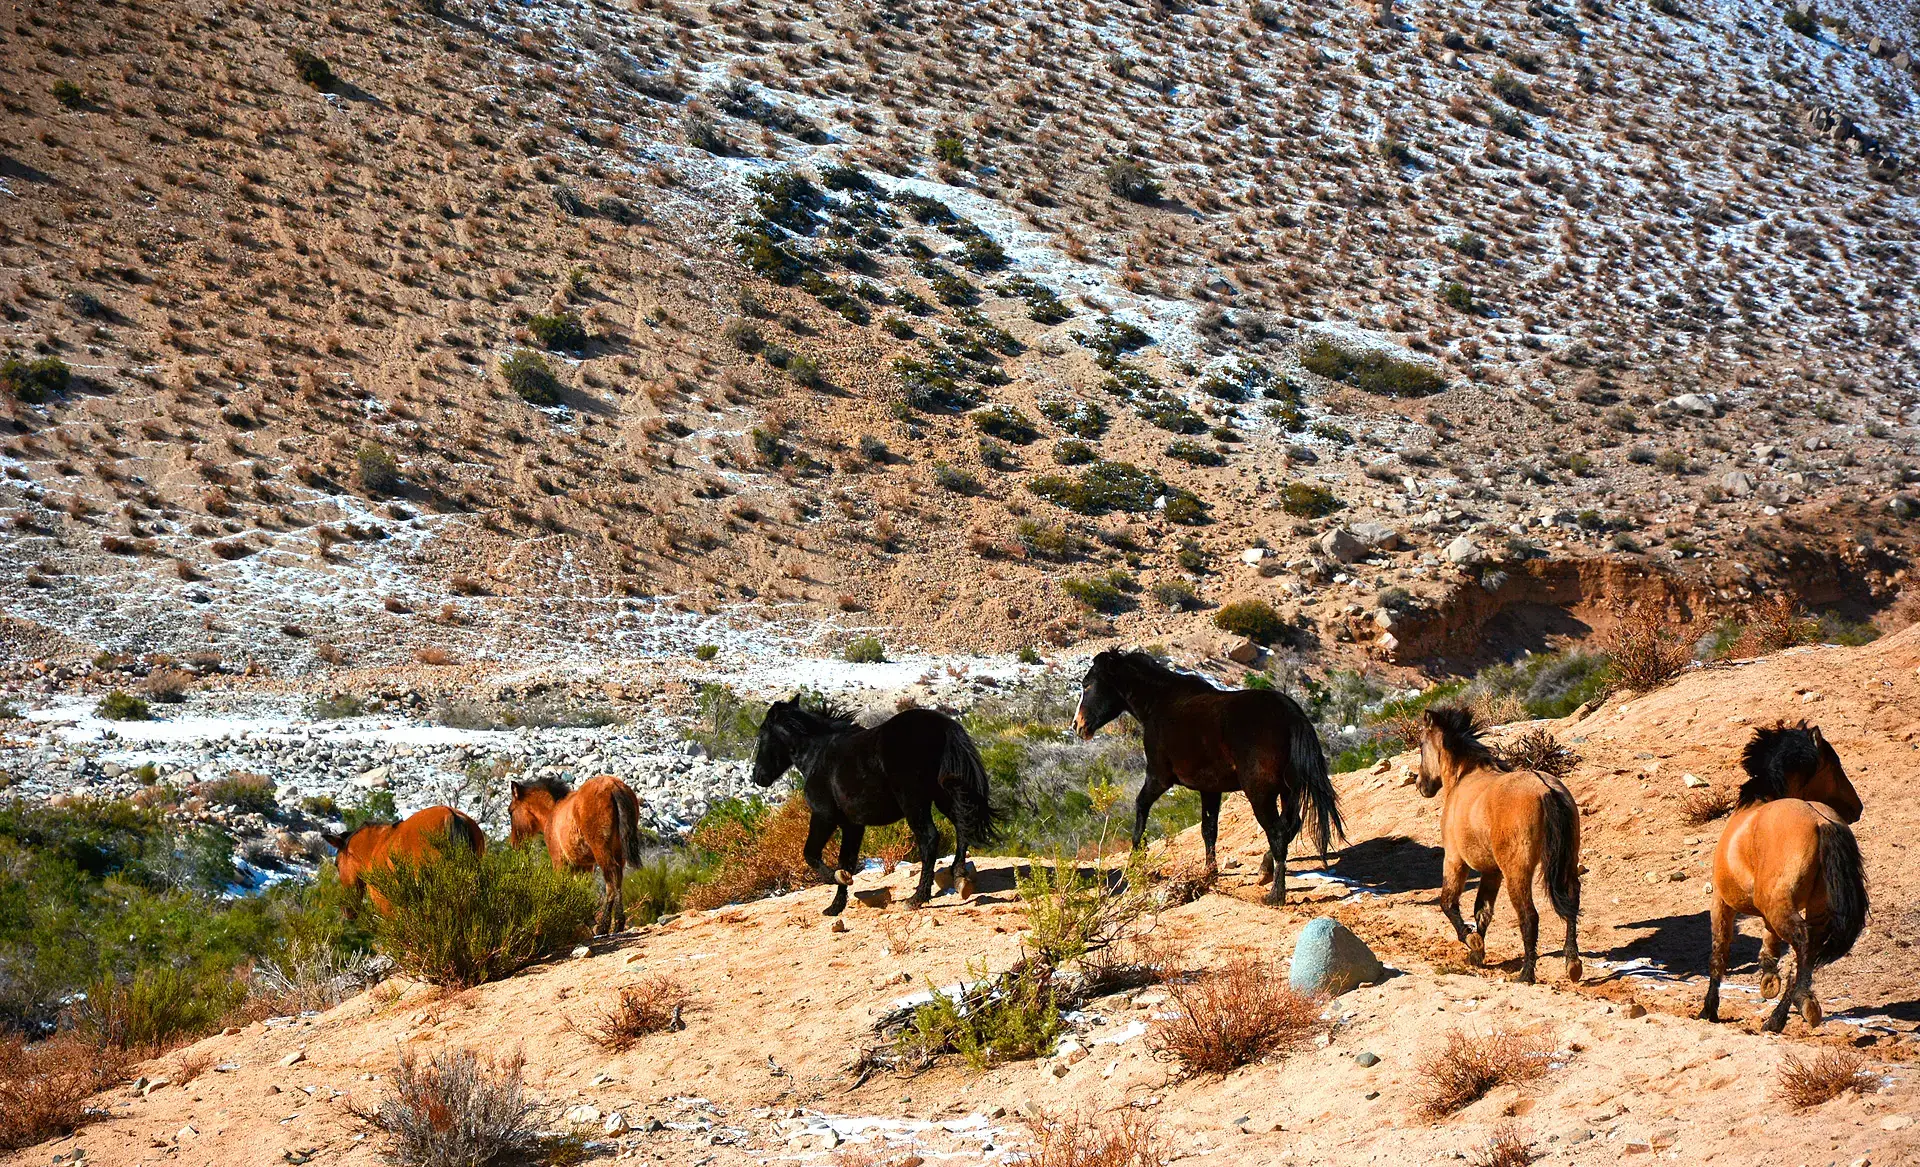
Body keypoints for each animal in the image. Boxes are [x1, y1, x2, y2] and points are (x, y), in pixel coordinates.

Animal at [510, 774, 647, 936]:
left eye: (510, 811)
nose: (514, 844)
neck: (552, 812)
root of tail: (613, 786)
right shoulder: (584, 865)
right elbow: (583, 889)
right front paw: (589, 921)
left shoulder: (559, 862)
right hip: (618, 851)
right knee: (618, 878)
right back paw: (618, 923)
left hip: (601, 849)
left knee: (611, 879)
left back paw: (604, 926)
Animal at [751, 698, 1001, 915]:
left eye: (762, 734)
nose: (758, 776)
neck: (818, 754)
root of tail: (943, 725)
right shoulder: (852, 826)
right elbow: (846, 860)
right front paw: (835, 906)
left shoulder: (823, 816)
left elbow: (811, 855)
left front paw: (836, 878)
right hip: (945, 795)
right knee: (962, 826)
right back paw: (960, 879)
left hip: (914, 803)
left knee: (930, 839)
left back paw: (917, 898)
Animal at [1072, 649, 1343, 904]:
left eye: (1087, 684)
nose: (1077, 725)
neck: (1160, 703)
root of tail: (1291, 716)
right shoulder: (1210, 789)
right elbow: (1209, 830)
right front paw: (1209, 873)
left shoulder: (1159, 777)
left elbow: (1141, 806)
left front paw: (1137, 857)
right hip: (1288, 791)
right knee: (1290, 826)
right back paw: (1264, 871)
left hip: (1261, 794)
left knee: (1277, 833)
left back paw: (1276, 894)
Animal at [1416, 707, 1583, 984]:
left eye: (1420, 745)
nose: (1421, 785)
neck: (1464, 777)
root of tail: (1546, 790)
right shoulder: (1492, 871)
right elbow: (1482, 911)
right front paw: (1477, 955)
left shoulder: (1455, 860)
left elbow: (1448, 903)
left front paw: (1471, 942)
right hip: (1567, 864)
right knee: (1571, 904)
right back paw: (1572, 964)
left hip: (1516, 872)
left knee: (1529, 917)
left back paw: (1526, 974)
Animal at [1699, 722, 1866, 1033]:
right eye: (1835, 765)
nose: (1857, 808)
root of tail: (1822, 821)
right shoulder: (1767, 911)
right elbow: (1769, 945)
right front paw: (1768, 981)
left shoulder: (1721, 902)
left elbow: (1718, 954)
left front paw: (1709, 1010)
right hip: (1810, 908)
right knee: (1809, 949)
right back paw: (1794, 1006)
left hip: (1780, 907)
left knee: (1803, 943)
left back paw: (1789, 1012)